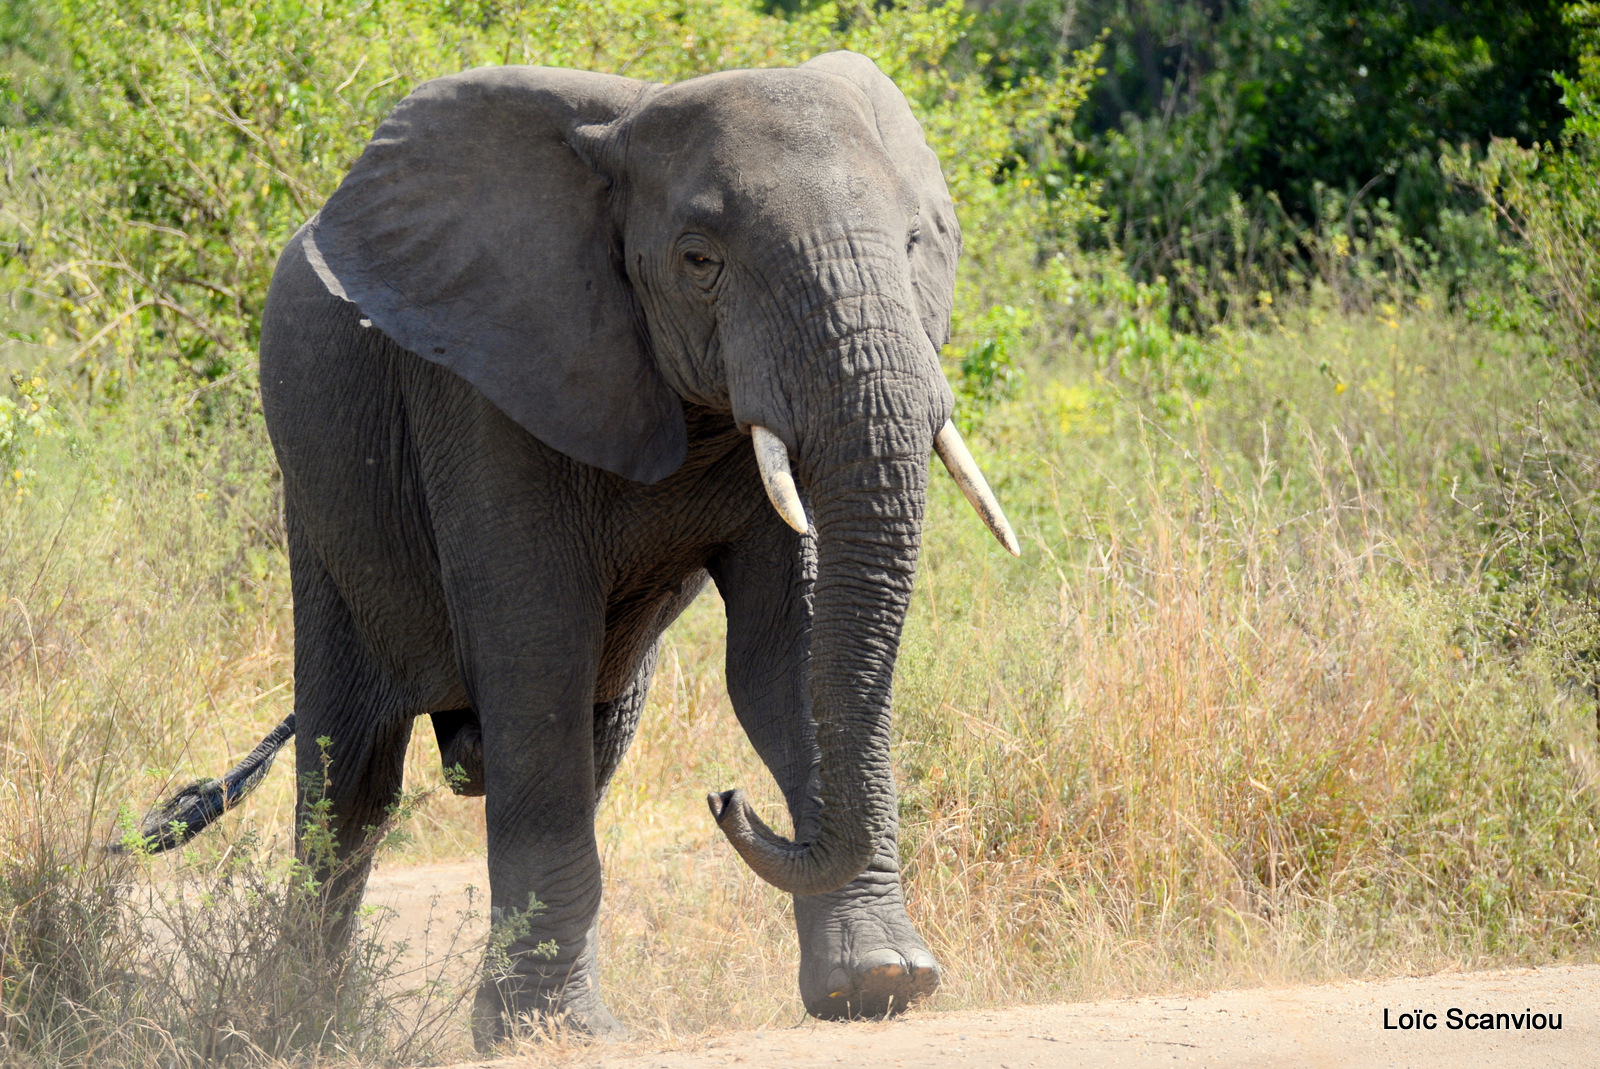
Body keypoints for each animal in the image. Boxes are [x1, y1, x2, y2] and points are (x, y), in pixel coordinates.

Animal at [131, 52, 1017, 1043]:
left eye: (915, 244)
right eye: (699, 260)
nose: (726, 799)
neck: (625, 131)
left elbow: (782, 659)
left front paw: (882, 984)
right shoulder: (484, 382)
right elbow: (537, 646)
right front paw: (549, 1032)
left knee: (595, 738)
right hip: (319, 506)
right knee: (351, 776)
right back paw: (309, 1020)